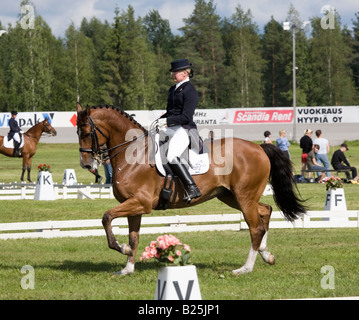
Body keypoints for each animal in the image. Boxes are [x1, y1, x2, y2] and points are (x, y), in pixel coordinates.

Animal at [76, 104, 306, 276]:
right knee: (265, 211)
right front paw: (127, 269)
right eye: (78, 132)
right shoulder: (134, 206)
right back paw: (267, 255)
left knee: (255, 227)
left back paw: (245, 268)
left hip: (244, 197)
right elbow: (133, 237)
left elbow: (106, 217)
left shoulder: (141, 203)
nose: (86, 165)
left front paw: (121, 248)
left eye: (87, 132)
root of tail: (259, 147)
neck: (133, 154)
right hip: (231, 196)